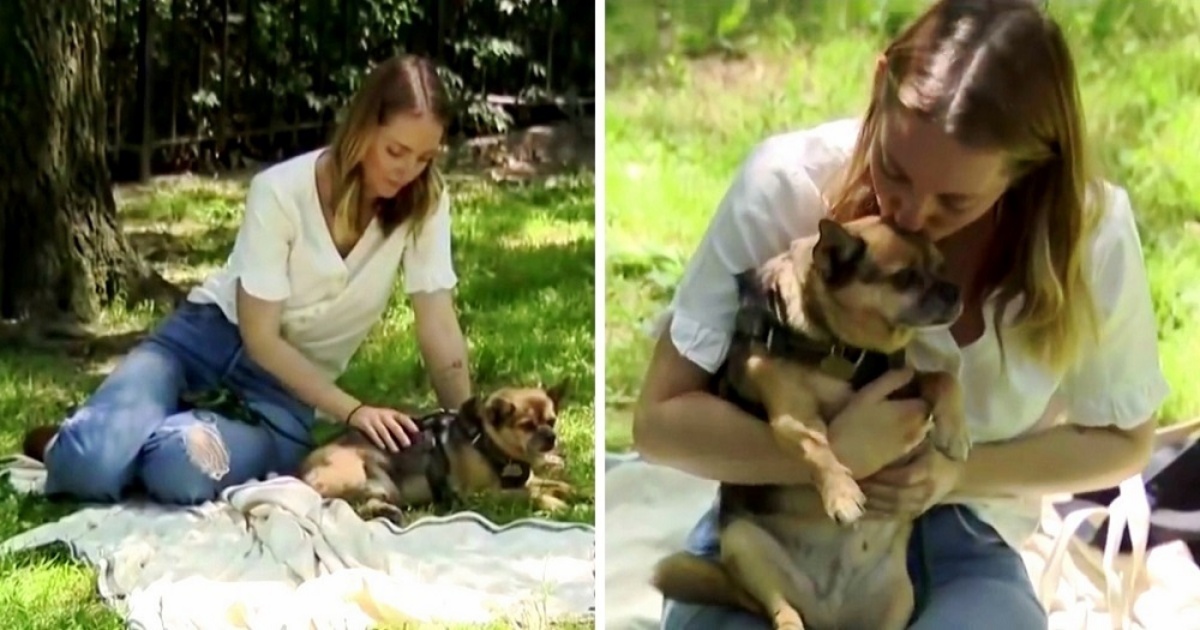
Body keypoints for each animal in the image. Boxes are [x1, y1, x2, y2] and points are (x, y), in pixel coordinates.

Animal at [295, 381, 571, 523]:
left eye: (552, 420)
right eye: (527, 425)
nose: (550, 436)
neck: (485, 442)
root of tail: (300, 473)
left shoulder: (527, 479)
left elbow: (553, 485)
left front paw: (574, 492)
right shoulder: (484, 495)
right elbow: (529, 494)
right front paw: (555, 503)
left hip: (385, 488)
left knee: (356, 506)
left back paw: (388, 512)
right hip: (360, 475)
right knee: (336, 503)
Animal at [652, 216, 969, 628]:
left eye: (942, 267)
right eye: (905, 278)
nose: (954, 290)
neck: (845, 350)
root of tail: (828, 615)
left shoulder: (904, 383)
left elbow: (941, 378)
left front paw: (955, 431)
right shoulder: (794, 418)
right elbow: (818, 448)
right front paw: (842, 494)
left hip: (900, 598)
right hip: (742, 541)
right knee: (780, 609)